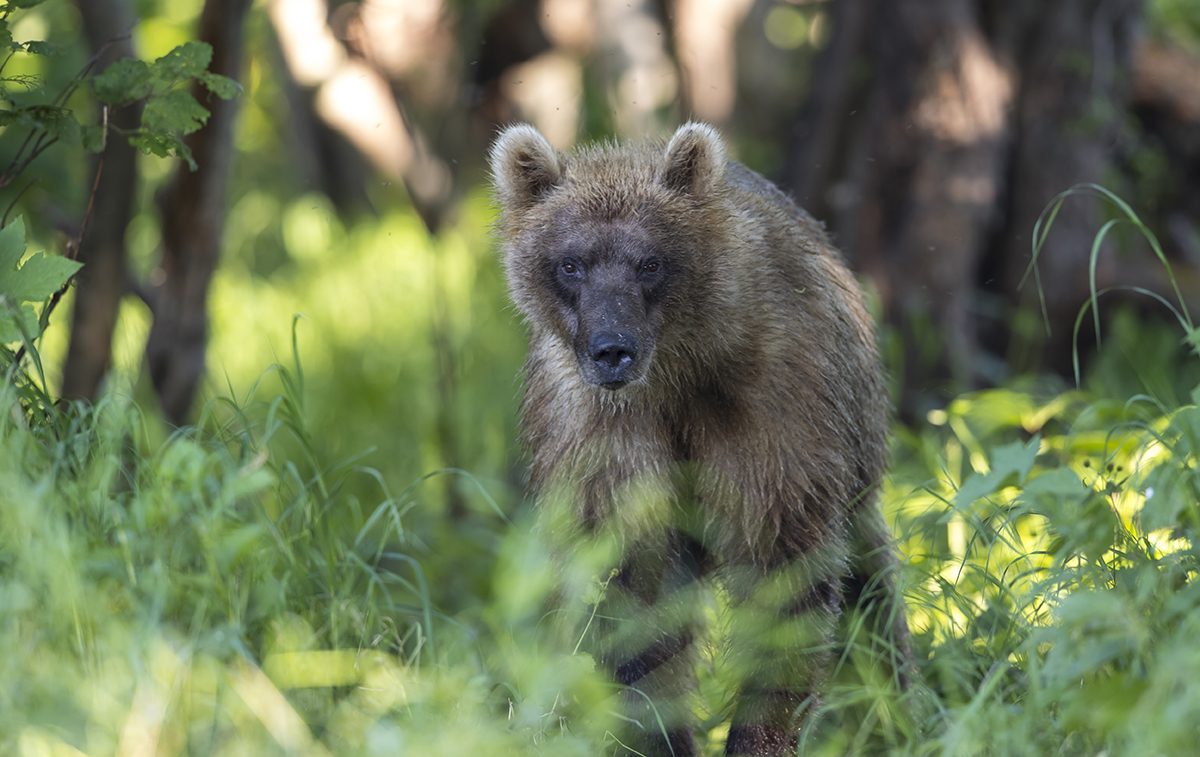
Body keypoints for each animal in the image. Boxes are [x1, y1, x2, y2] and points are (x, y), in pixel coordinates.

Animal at [487, 124, 907, 757]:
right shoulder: (599, 438)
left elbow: (786, 584)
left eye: (650, 262)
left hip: (857, 447)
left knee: (870, 588)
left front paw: (760, 734)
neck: (677, 372)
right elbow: (634, 602)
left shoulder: (776, 410)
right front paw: (660, 734)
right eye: (571, 263)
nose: (613, 349)